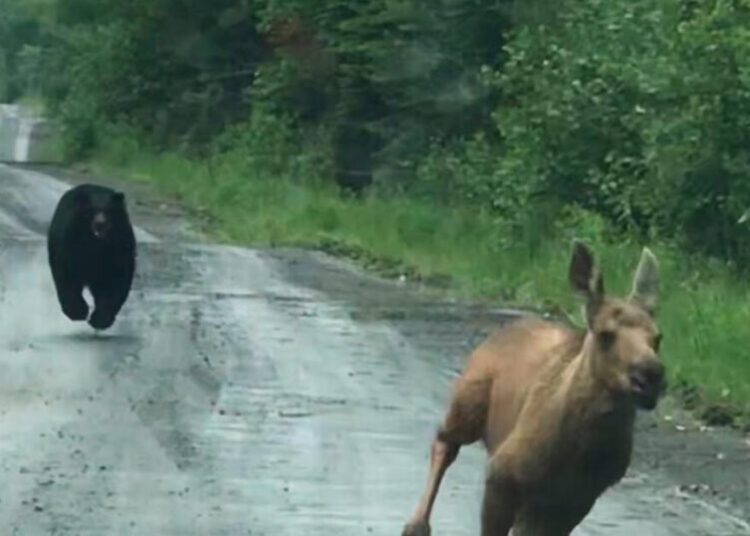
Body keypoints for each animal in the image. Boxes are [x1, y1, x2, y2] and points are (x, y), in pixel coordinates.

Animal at [47, 183, 137, 331]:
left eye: (108, 210)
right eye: (91, 211)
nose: (101, 223)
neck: (96, 243)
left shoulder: (119, 246)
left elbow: (116, 279)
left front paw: (100, 319)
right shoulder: (70, 243)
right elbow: (67, 275)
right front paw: (77, 311)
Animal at [402, 240, 665, 536]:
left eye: (658, 338)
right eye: (605, 334)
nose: (650, 377)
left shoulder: (577, 499)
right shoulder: (501, 474)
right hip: (468, 402)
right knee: (445, 441)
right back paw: (416, 525)